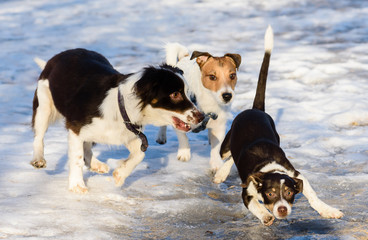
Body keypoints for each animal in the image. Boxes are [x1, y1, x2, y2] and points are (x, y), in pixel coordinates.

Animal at [30, 48, 204, 193]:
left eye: (188, 92)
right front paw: (77, 185)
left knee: (87, 144)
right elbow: (77, 158)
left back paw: (96, 164)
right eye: (175, 94)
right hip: (44, 106)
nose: (201, 116)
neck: (123, 107)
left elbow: (139, 155)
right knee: (39, 136)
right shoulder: (75, 128)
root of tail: (57, 57)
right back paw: (38, 159)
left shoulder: (128, 133)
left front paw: (120, 175)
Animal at [155, 42, 242, 172]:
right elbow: (182, 136)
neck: (209, 99)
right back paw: (161, 136)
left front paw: (216, 164)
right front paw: (184, 153)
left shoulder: (219, 124)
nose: (227, 96)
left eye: (232, 76)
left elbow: (217, 146)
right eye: (212, 77)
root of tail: (184, 57)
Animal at [214, 26, 344, 225]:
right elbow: (254, 204)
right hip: (226, 145)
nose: (282, 209)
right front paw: (265, 215)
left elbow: (312, 194)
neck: (269, 168)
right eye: (270, 193)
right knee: (228, 156)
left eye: (289, 193)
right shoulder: (247, 192)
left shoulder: (296, 175)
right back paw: (220, 174)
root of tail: (255, 109)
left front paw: (327, 210)